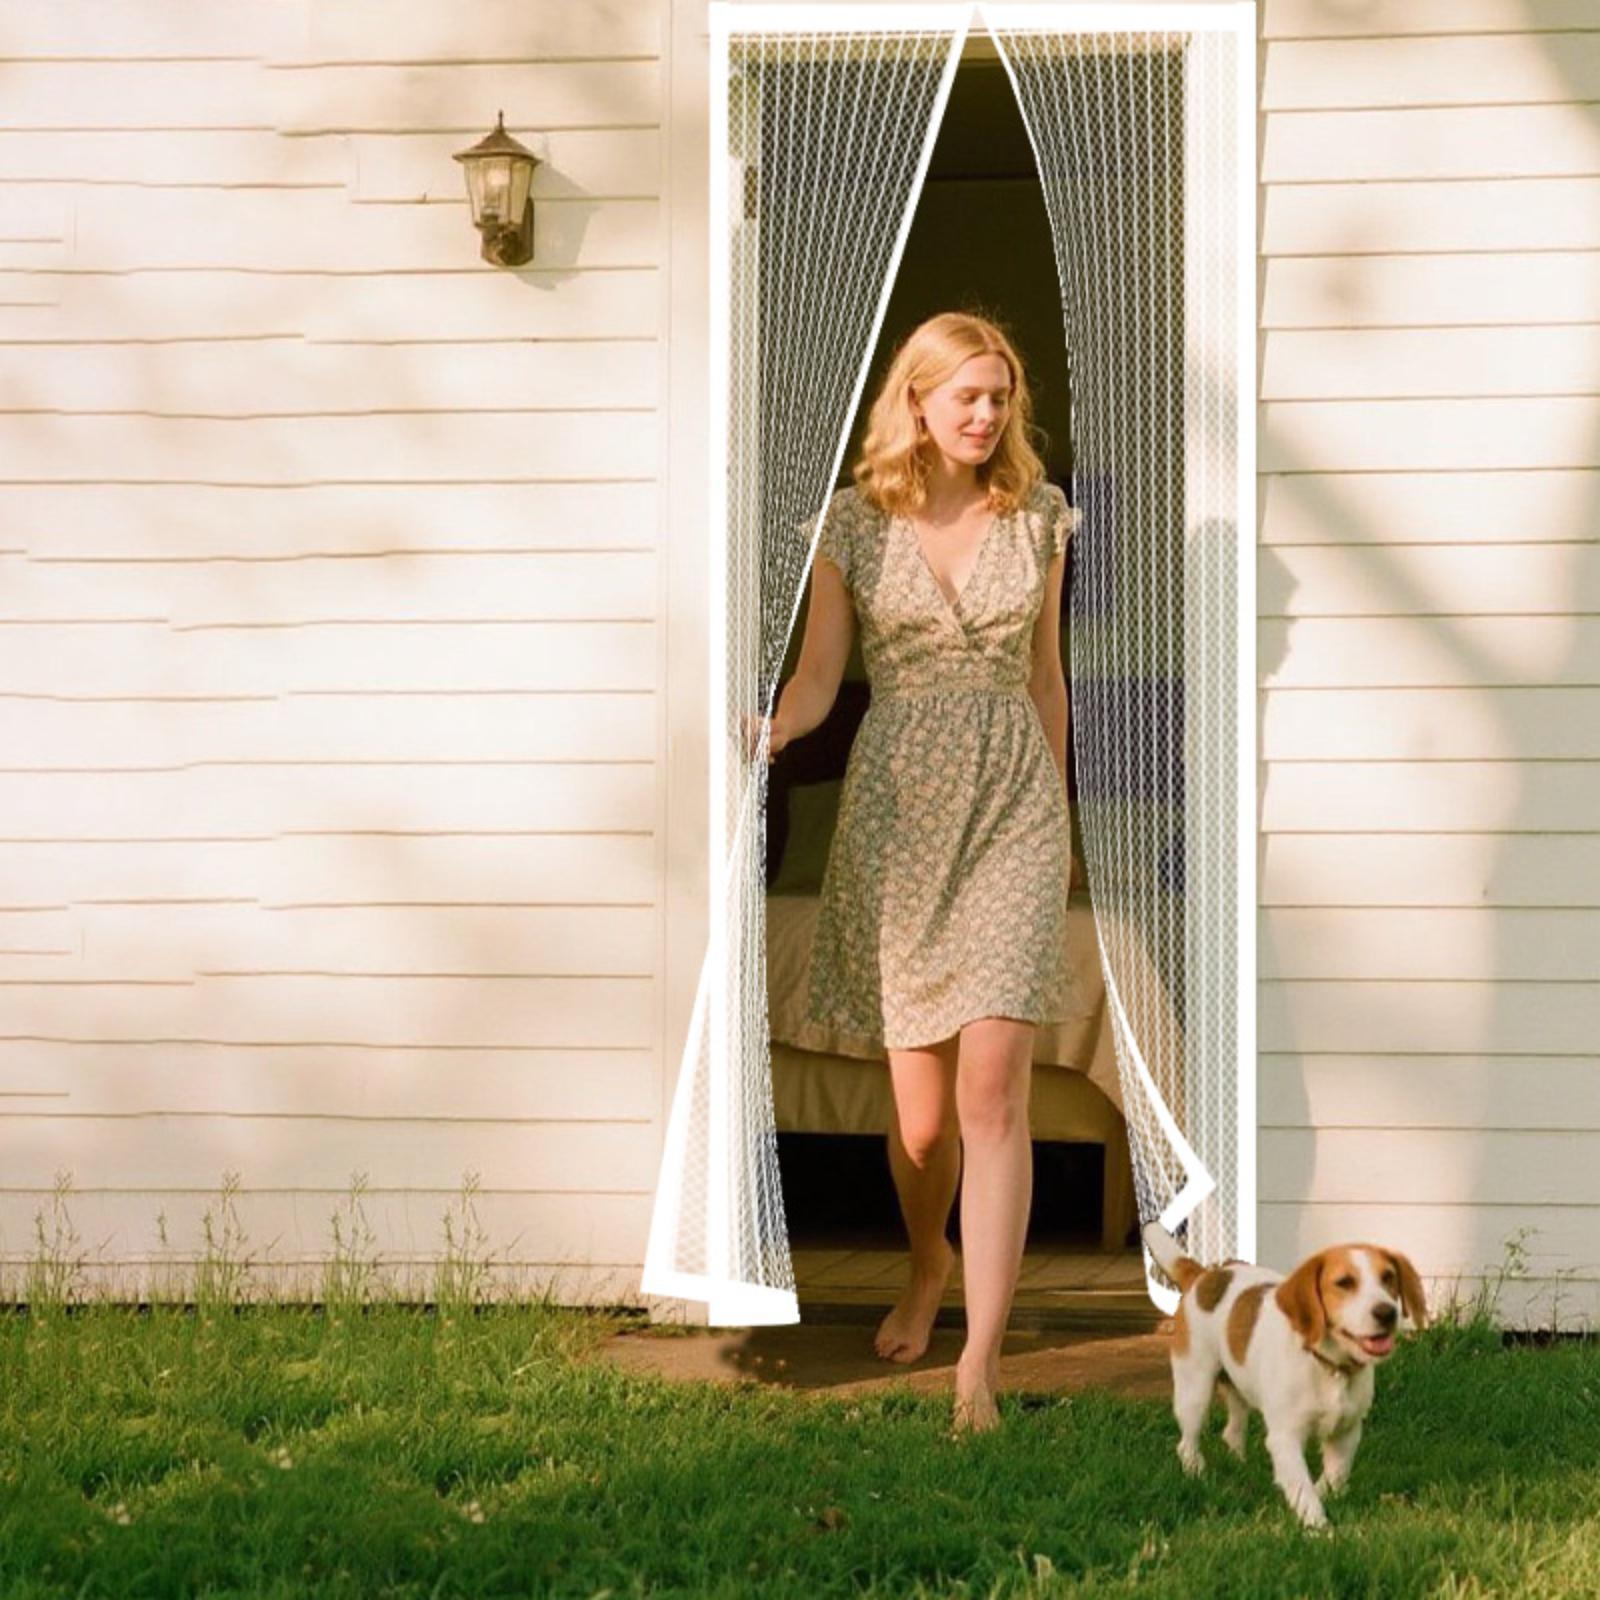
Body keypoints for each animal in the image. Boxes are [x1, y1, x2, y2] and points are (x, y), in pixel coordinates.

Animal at [1142, 1220, 1428, 1531]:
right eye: (1344, 1283)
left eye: (1388, 1277)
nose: (1387, 1313)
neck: (1328, 1368)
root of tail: (1204, 1275)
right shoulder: (1285, 1437)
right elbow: (1302, 1488)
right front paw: (1319, 1528)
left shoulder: (1346, 1432)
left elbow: (1334, 1475)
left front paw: (1326, 1496)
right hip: (1195, 1391)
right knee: (1186, 1443)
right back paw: (1197, 1472)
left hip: (1238, 1389)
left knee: (1232, 1432)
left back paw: (1240, 1466)